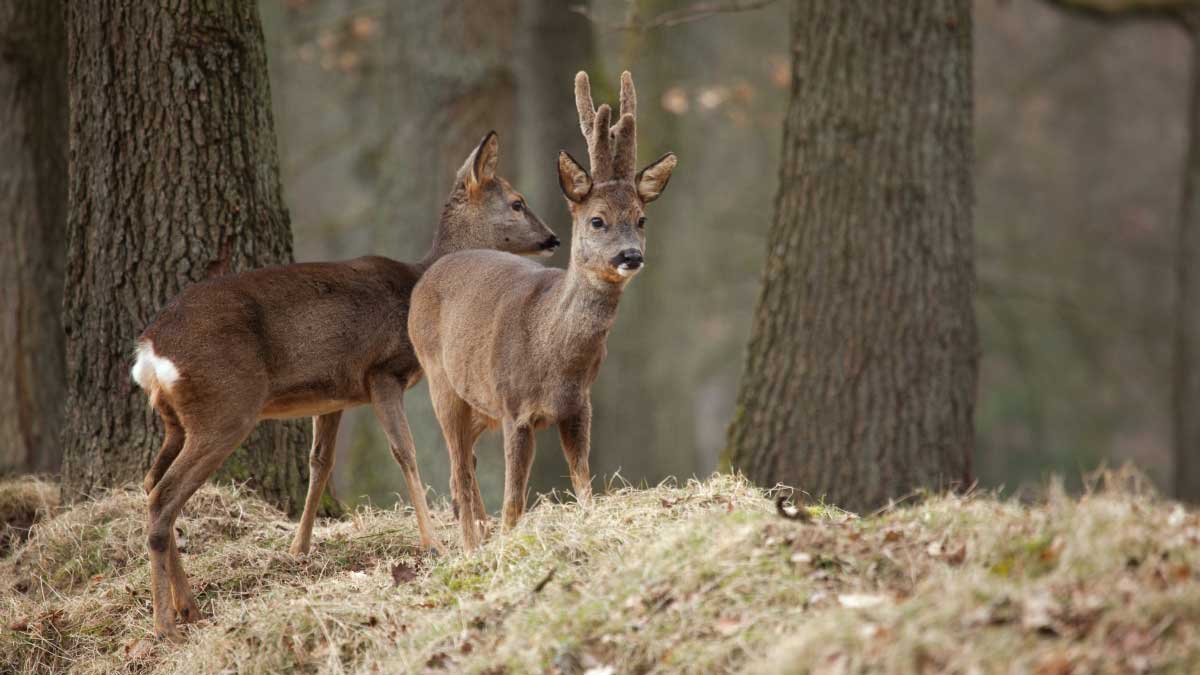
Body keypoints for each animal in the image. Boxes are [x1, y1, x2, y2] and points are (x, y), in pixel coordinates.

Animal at [131, 132, 556, 638]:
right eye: (518, 202)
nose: (553, 238)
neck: (417, 282)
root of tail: (150, 350)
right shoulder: (382, 371)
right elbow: (405, 452)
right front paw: (433, 543)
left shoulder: (331, 392)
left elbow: (320, 463)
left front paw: (299, 548)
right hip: (225, 408)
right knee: (163, 496)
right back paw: (164, 623)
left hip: (177, 420)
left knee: (151, 484)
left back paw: (189, 608)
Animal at [410, 73, 676, 547]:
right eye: (597, 220)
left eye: (641, 218)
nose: (630, 256)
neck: (552, 350)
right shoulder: (515, 407)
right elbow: (514, 502)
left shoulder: (578, 406)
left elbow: (584, 486)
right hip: (441, 380)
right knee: (458, 471)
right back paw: (470, 546)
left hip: (480, 404)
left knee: (466, 467)